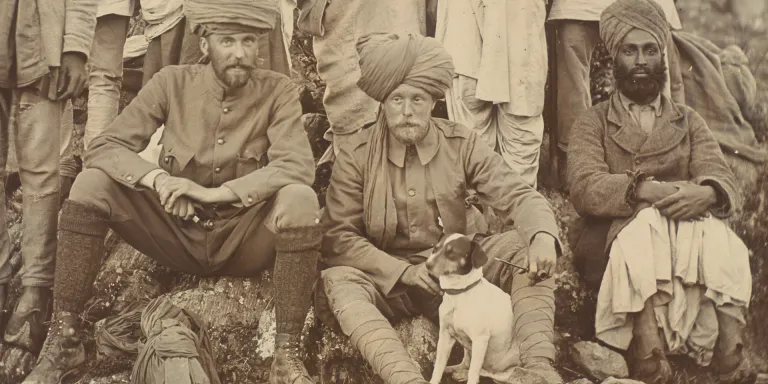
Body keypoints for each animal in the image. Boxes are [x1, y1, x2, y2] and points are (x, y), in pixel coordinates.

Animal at [426, 232, 520, 384]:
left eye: (451, 253)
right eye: (435, 248)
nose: (427, 265)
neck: (459, 294)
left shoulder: (480, 340)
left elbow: (474, 373)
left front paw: (468, 375)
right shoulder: (445, 334)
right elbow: (439, 366)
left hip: (505, 371)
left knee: (486, 373)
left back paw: (463, 374)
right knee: (465, 362)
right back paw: (454, 369)